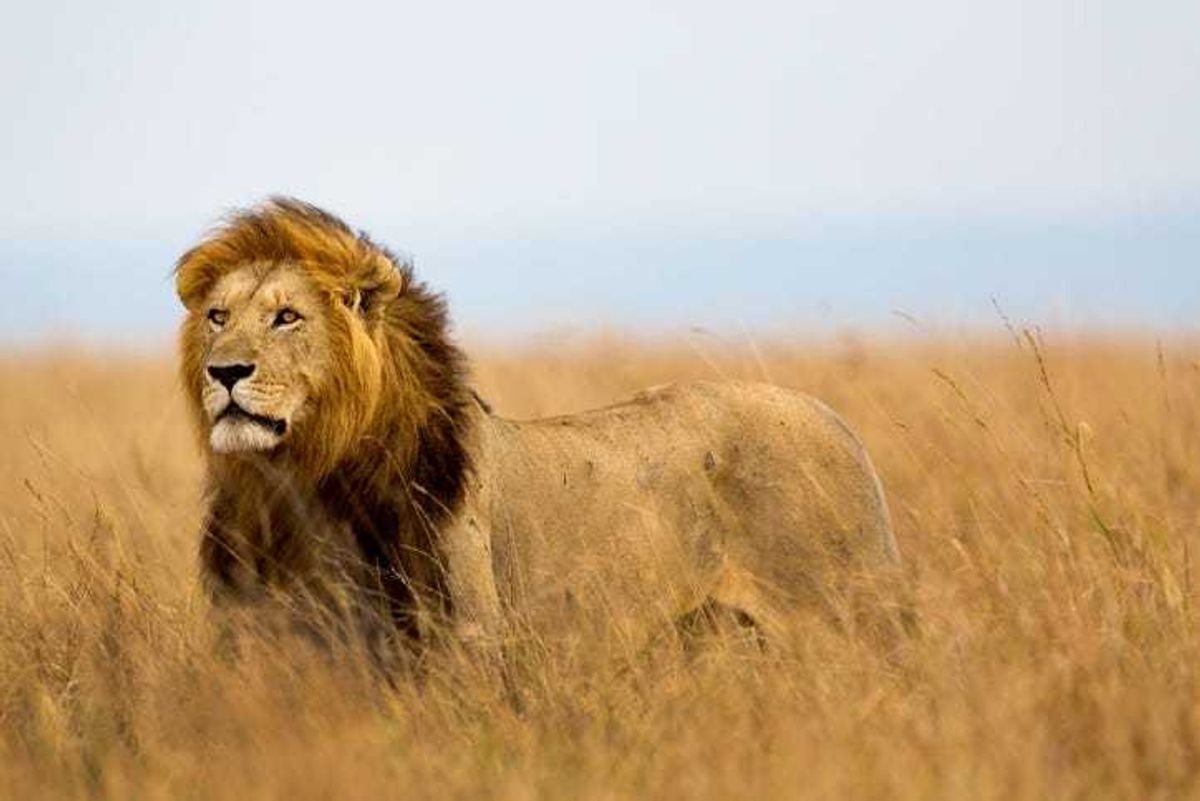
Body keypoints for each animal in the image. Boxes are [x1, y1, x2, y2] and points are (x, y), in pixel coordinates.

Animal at [176, 198, 902, 661]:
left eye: (287, 317)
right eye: (217, 316)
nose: (225, 371)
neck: (301, 480)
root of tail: (835, 419)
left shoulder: (464, 639)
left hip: (848, 621)